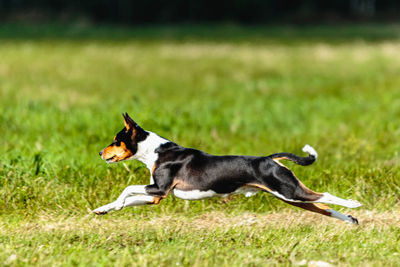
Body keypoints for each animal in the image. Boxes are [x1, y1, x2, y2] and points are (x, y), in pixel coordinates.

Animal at [92, 113, 360, 224]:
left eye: (115, 141)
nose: (100, 153)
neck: (155, 151)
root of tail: (270, 159)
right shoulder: (156, 196)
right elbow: (128, 200)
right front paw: (104, 209)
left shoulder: (159, 188)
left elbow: (127, 189)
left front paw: (114, 204)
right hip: (290, 197)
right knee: (324, 207)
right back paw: (350, 220)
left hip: (290, 192)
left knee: (326, 196)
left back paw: (353, 204)